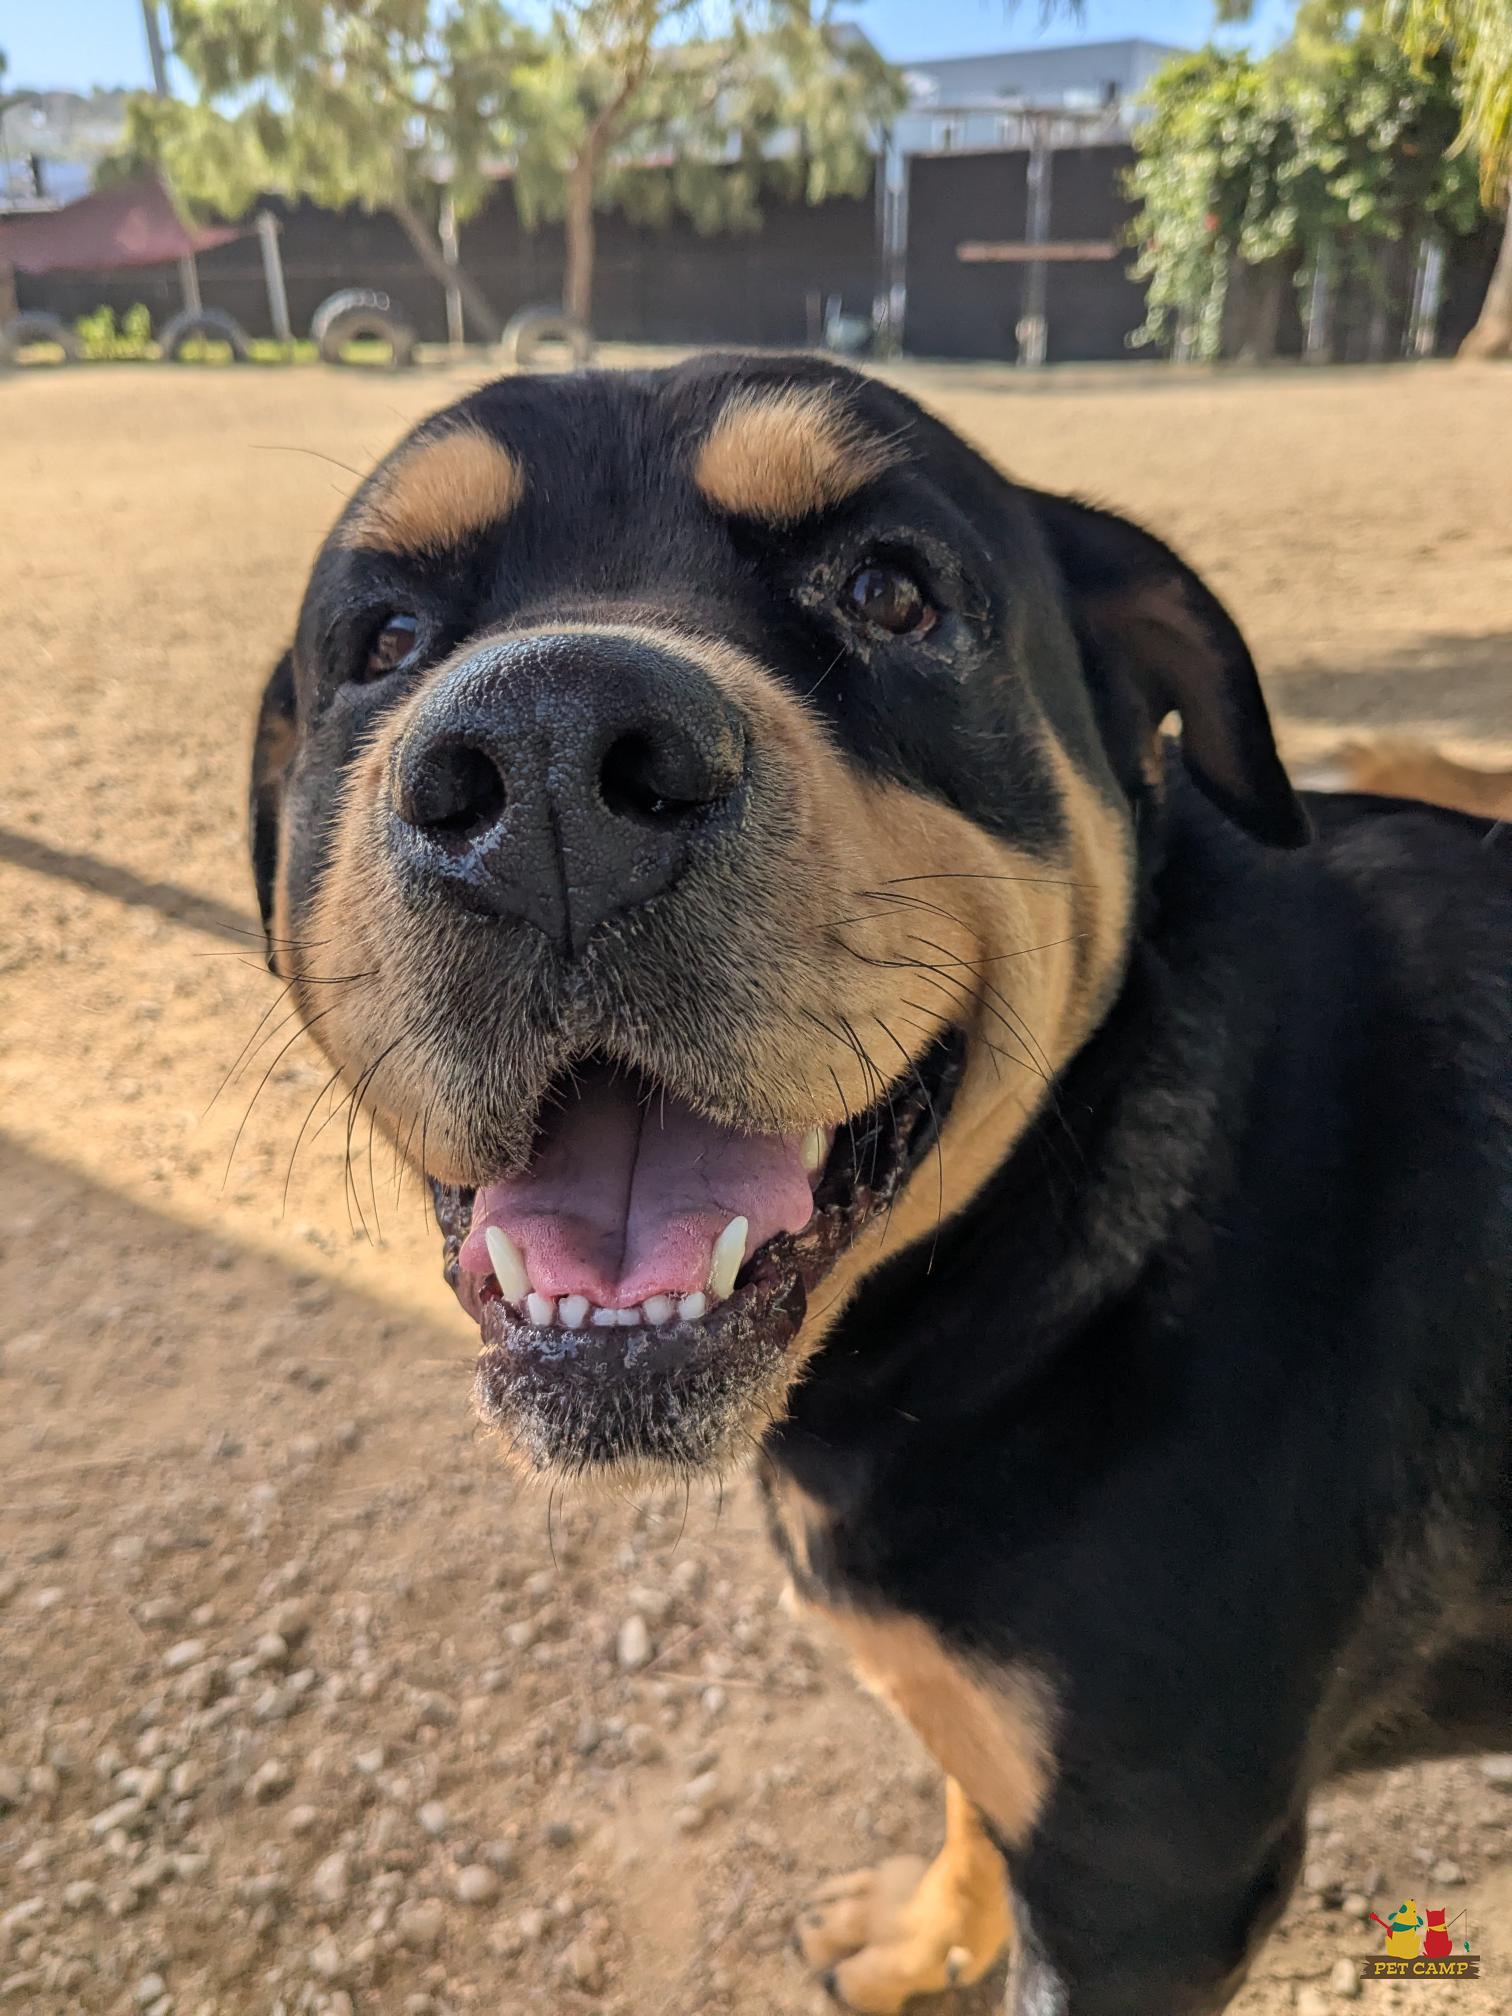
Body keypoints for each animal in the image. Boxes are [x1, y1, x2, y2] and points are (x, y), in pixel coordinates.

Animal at [248, 355, 1510, 2016]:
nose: (544, 759)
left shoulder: (1151, 1875)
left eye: (891, 592)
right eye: (384, 638)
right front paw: (927, 1934)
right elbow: (970, 1798)